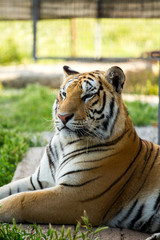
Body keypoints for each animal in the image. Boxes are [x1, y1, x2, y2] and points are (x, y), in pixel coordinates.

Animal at [0, 65, 160, 240]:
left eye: (88, 95)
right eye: (64, 94)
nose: (63, 116)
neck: (65, 143)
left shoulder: (76, 195)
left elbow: (21, 200)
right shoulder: (39, 180)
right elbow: (7, 189)